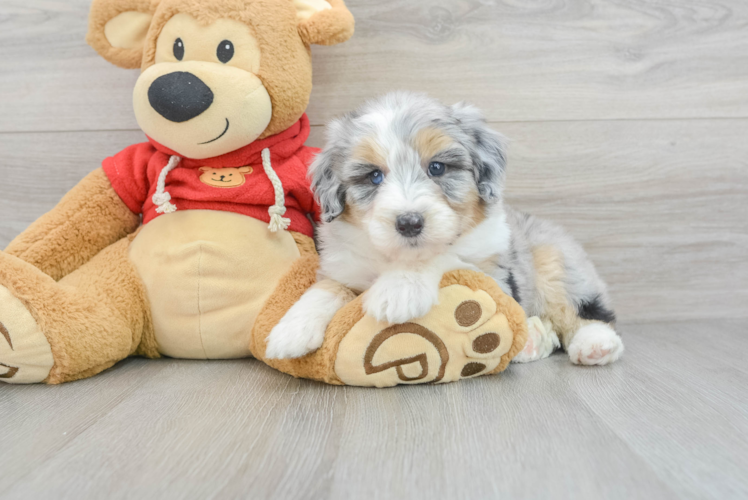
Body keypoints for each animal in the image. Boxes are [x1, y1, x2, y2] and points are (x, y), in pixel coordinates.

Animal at [266, 94, 624, 366]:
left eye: (437, 167)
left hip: (554, 261)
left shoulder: (493, 275)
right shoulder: (345, 266)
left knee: (582, 309)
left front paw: (399, 290)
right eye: (373, 176)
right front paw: (290, 330)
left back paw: (595, 344)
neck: (396, 256)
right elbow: (327, 289)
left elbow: (445, 257)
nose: (409, 223)